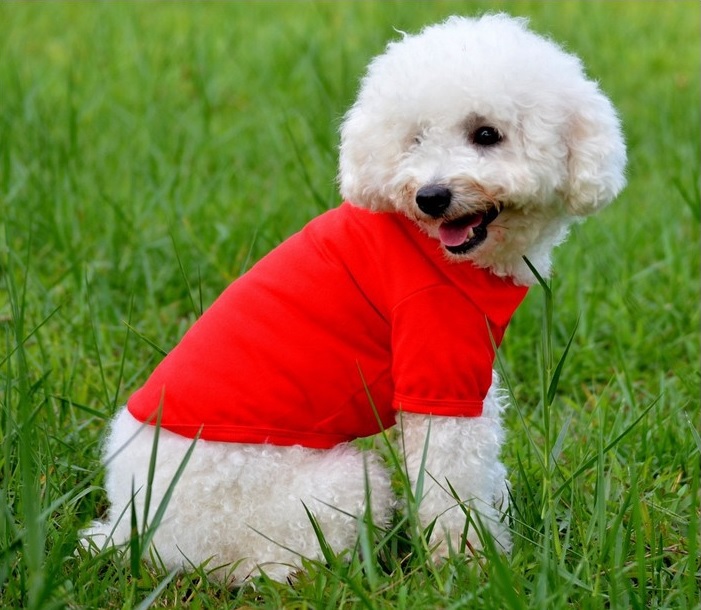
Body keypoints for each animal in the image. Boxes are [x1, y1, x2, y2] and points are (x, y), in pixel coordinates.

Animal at [80, 13, 624, 580]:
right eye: (415, 139)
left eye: (486, 134)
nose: (431, 197)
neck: (433, 246)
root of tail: (131, 528)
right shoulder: (437, 370)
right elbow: (453, 487)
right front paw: (471, 565)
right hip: (328, 488)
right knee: (269, 565)